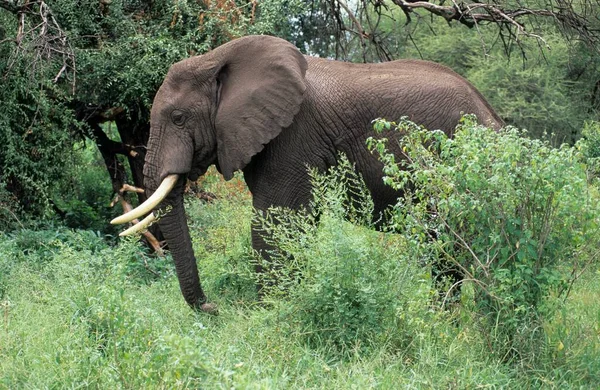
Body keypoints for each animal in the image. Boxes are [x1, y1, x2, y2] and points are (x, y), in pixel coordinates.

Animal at [110, 34, 504, 314]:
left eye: (178, 118)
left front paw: (269, 314)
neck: (217, 58)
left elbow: (274, 224)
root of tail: (494, 117)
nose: (212, 307)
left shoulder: (293, 136)